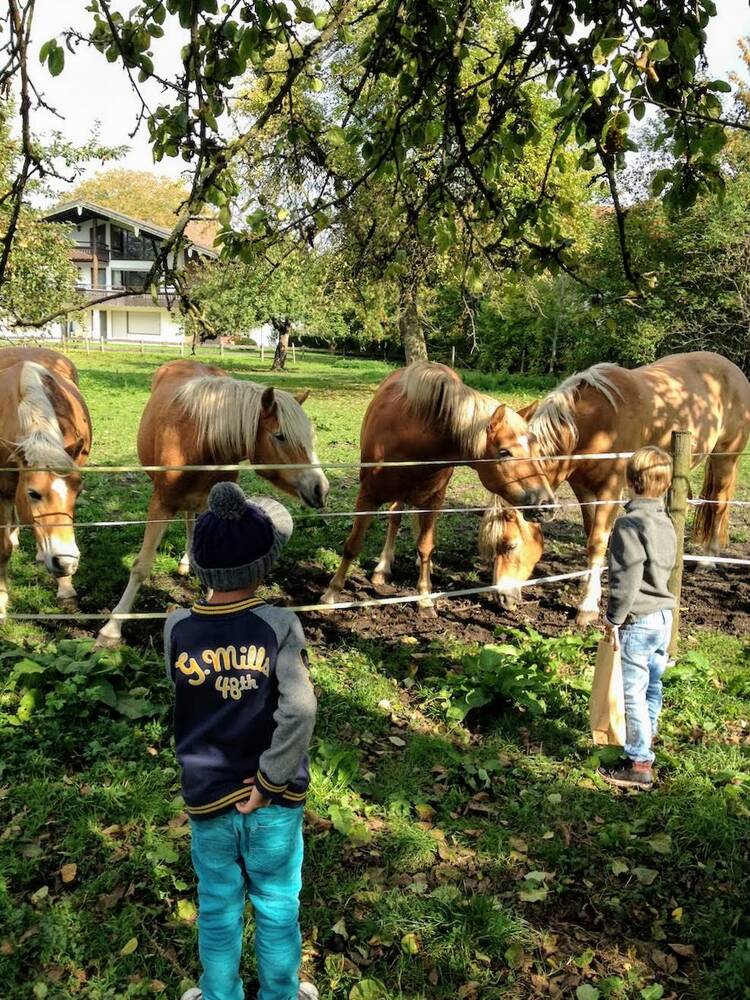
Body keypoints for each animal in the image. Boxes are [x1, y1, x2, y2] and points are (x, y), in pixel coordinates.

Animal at [0, 348, 92, 620]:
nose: (67, 562)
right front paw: (1, 601)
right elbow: (3, 548)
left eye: (78, 492)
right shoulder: (2, 492)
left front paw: (66, 589)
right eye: (33, 493)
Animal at [97, 362, 328, 648]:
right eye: (280, 436)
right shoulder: (160, 505)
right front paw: (111, 629)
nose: (321, 488)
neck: (199, 441)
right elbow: (141, 566)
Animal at [320, 360, 556, 608]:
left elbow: (426, 546)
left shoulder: (434, 501)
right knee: (395, 519)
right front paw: (331, 594)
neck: (412, 439)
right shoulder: (367, 496)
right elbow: (353, 544)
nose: (547, 505)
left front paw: (424, 597)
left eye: (537, 449)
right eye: (505, 452)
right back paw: (382, 569)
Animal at [520, 348, 750, 620]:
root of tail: (734, 370)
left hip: (725, 458)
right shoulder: (584, 490)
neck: (596, 421)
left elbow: (598, 541)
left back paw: (707, 560)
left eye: (510, 544)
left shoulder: (610, 489)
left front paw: (588, 605)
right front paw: (588, 583)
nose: (504, 598)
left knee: (718, 506)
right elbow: (590, 534)